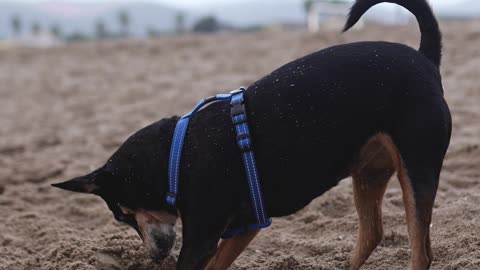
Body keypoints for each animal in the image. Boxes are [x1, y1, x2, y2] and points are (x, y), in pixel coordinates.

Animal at [51, 0, 450, 268]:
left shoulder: (200, 240)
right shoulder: (242, 228)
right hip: (369, 172)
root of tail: (425, 59)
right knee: (373, 234)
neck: (176, 157)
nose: (153, 255)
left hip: (416, 168)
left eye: (124, 215)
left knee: (420, 251)